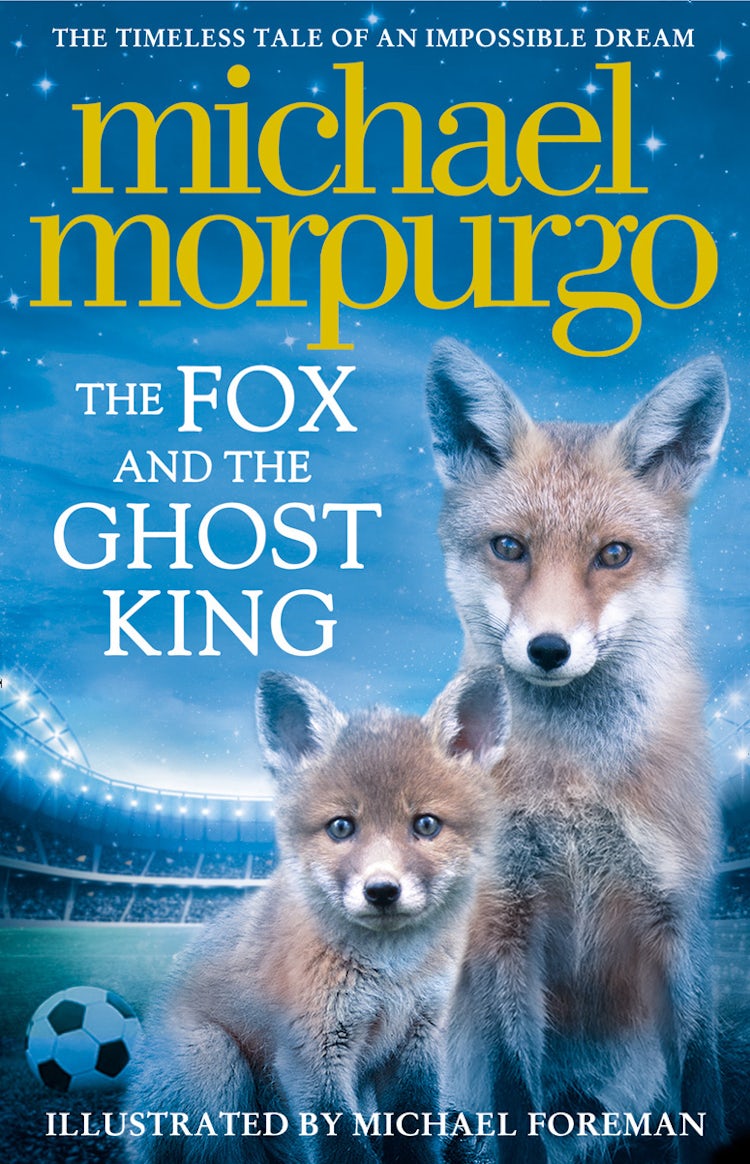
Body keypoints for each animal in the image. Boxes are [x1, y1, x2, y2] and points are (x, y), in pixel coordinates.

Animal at [128, 666, 509, 1164]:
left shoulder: (419, 1043)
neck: (391, 974)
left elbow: (415, 1135)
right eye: (341, 827)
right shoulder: (312, 1054)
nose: (381, 891)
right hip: (213, 1061)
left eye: (426, 824)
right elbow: (343, 1146)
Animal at [425, 339, 731, 1163]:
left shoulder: (679, 920)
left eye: (613, 554)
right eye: (509, 548)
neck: (577, 782)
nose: (549, 649)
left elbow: (698, 1080)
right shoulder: (502, 921)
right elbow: (513, 1097)